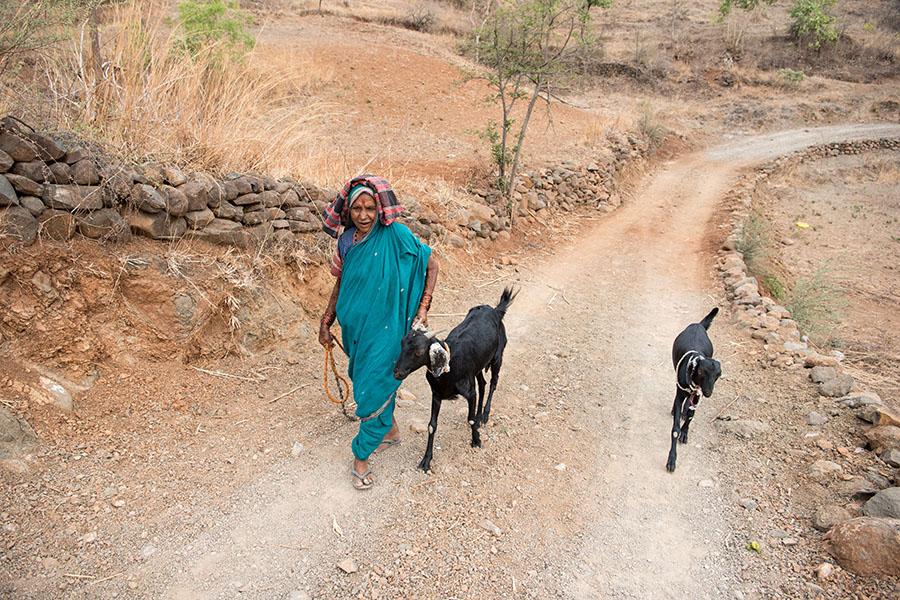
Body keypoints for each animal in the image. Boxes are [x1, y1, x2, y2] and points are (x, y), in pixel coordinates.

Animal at [392, 288, 516, 474]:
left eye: (419, 351)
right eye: (402, 344)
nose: (397, 373)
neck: (449, 368)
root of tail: (495, 310)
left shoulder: (469, 392)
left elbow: (470, 418)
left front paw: (476, 441)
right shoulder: (436, 394)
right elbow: (432, 425)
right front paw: (426, 460)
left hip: (497, 357)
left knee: (493, 382)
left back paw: (484, 415)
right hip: (478, 367)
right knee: (483, 384)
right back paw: (479, 415)